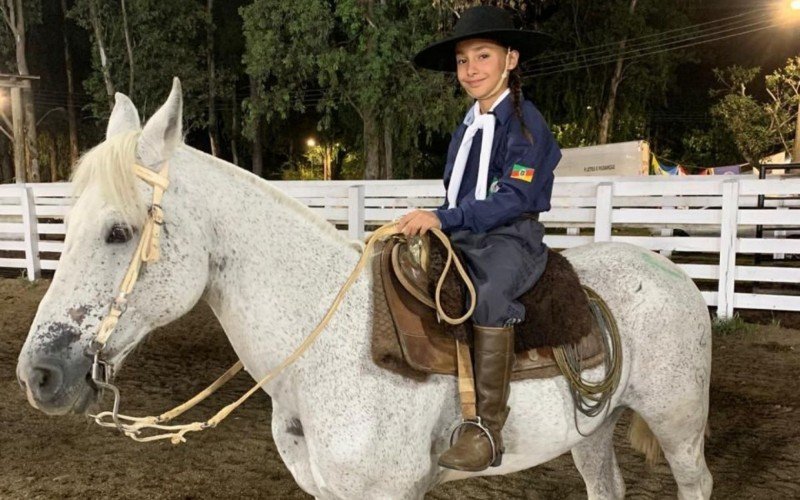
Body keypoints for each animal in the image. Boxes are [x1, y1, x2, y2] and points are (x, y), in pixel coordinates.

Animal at [15, 80, 712, 498]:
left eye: (118, 231)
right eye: (64, 226)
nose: (39, 375)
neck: (324, 349)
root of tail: (678, 276)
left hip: (678, 424)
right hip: (592, 430)